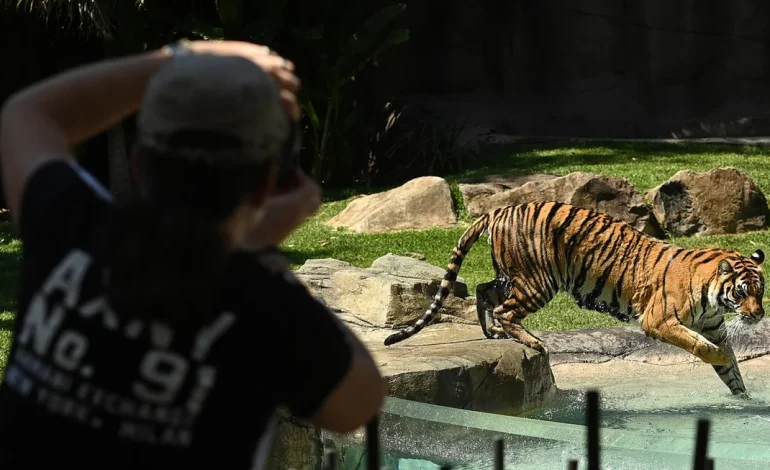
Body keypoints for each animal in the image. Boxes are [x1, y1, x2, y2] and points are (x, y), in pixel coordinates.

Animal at [384, 201, 760, 396]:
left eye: (761, 290)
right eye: (742, 291)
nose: (757, 314)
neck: (714, 297)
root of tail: (500, 209)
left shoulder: (714, 327)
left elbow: (732, 370)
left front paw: (745, 400)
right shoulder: (661, 321)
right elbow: (703, 347)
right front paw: (717, 358)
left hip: (510, 275)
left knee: (483, 290)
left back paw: (492, 333)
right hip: (538, 280)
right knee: (505, 309)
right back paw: (531, 341)